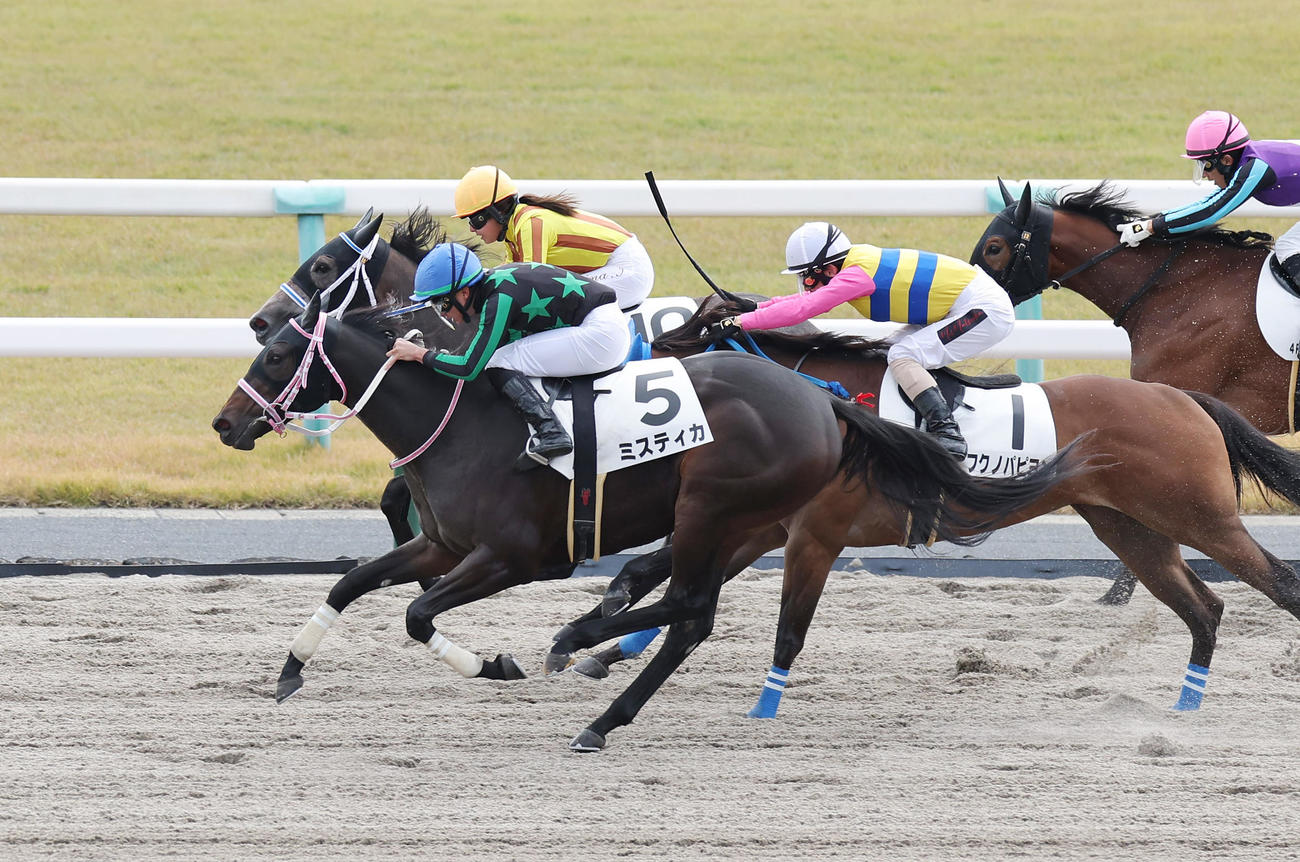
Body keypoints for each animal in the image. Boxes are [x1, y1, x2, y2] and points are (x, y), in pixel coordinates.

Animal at [211, 296, 1087, 751]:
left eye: (275, 357)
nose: (225, 424)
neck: (463, 422)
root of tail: (827, 402)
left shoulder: (515, 557)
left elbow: (417, 614)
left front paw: (500, 662)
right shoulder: (440, 544)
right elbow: (356, 583)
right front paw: (289, 671)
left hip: (712, 507)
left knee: (690, 610)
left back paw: (584, 662)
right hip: (738, 521)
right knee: (685, 612)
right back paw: (601, 687)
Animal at [548, 300, 1300, 718]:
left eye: (663, 355)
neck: (825, 407)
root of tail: (1183, 398)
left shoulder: (812, 533)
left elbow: (781, 627)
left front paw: (762, 706)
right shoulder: (763, 524)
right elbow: (658, 575)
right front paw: (598, 643)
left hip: (1200, 516)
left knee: (1278, 583)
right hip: (1132, 529)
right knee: (1205, 606)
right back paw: (1186, 700)